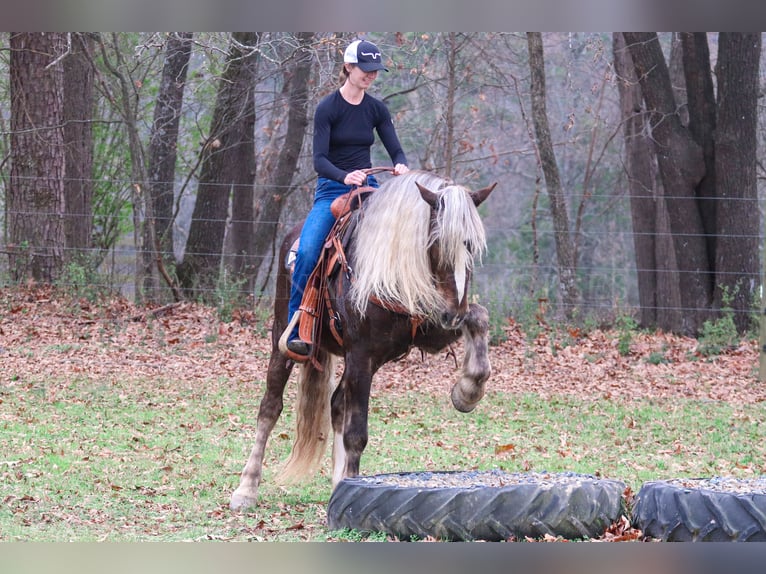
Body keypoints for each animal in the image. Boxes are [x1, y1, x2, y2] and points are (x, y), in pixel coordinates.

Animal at [228, 170, 498, 512]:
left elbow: (480, 316)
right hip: (284, 339)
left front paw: (468, 391)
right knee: (270, 407)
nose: (454, 313)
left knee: (336, 404)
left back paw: (337, 483)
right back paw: (246, 488)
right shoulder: (361, 354)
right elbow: (356, 434)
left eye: (472, 246)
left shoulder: (430, 330)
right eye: (436, 241)